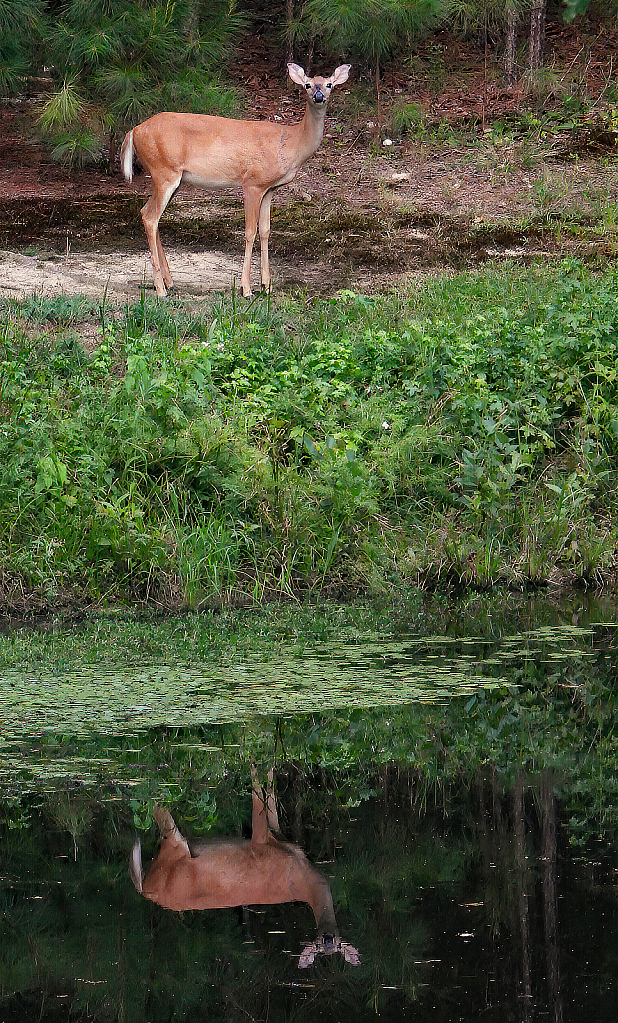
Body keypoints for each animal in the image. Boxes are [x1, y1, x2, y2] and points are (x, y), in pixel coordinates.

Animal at [118, 63, 349, 298]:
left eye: (329, 84)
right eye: (307, 85)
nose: (319, 96)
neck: (291, 143)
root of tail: (134, 130)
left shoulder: (270, 188)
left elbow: (265, 231)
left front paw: (267, 285)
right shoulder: (252, 182)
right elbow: (250, 232)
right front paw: (246, 288)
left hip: (171, 177)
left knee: (148, 214)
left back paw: (170, 282)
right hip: (164, 170)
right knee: (150, 217)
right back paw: (160, 288)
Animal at [131, 769, 362, 965]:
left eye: (338, 947)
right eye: (318, 946)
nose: (329, 939)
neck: (301, 876)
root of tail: (147, 890)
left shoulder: (276, 835)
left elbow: (271, 795)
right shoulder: (261, 843)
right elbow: (258, 792)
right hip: (174, 850)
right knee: (159, 805)